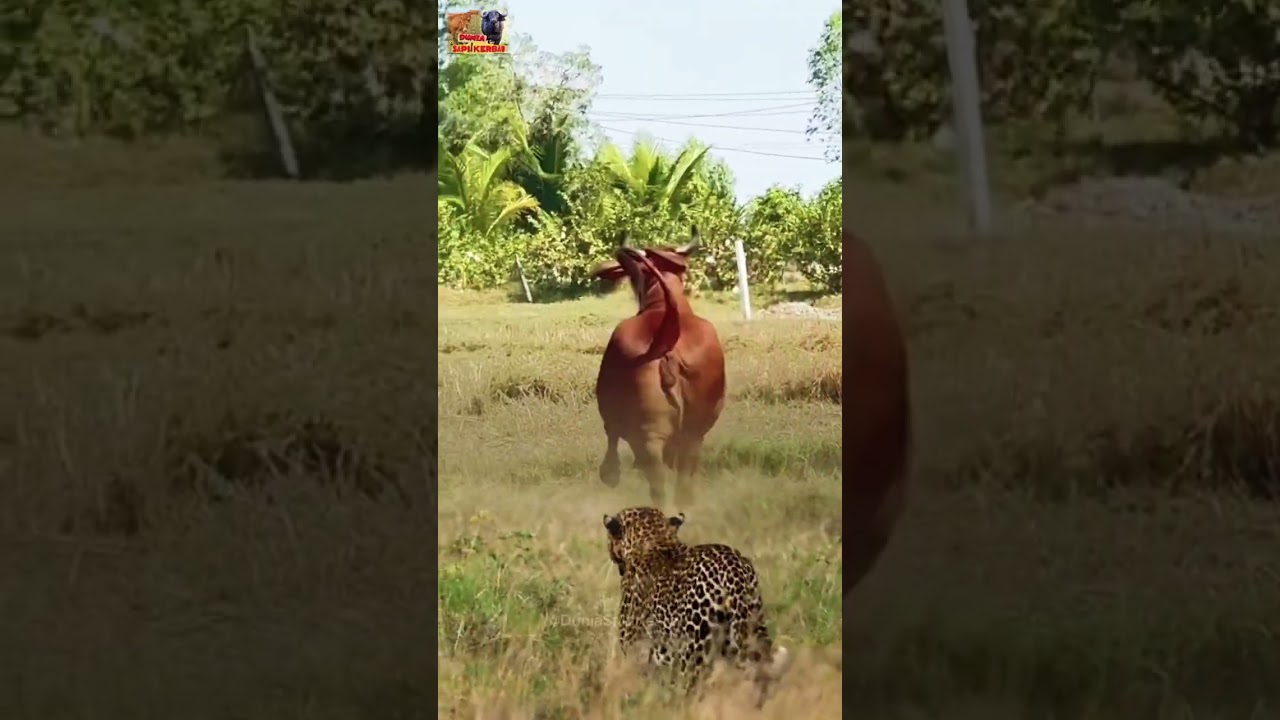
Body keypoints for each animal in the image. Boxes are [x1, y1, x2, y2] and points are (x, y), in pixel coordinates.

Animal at [602, 506, 792, 706]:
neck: (654, 541)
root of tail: (734, 570)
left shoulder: (635, 649)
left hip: (694, 651)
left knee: (690, 690)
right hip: (745, 633)